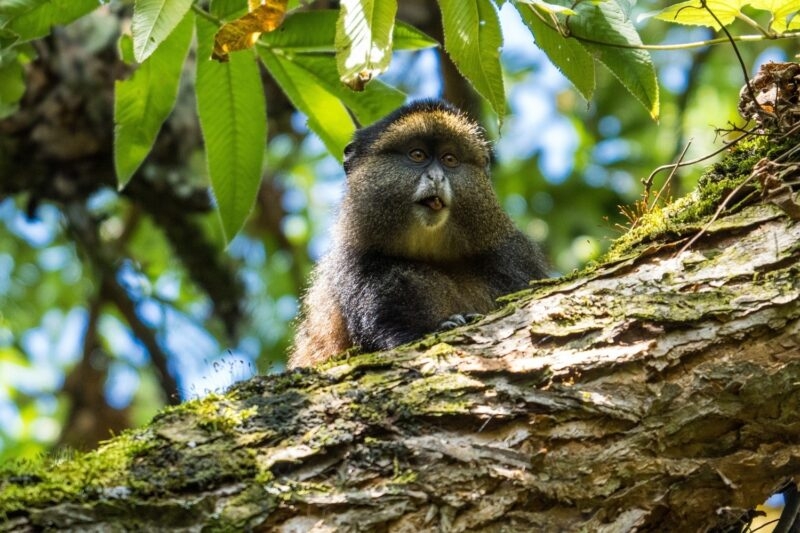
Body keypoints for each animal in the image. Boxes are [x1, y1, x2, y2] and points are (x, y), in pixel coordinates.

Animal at [289, 100, 548, 368]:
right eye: (417, 155)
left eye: (449, 159)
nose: (437, 176)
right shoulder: (358, 266)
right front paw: (447, 324)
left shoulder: (513, 254)